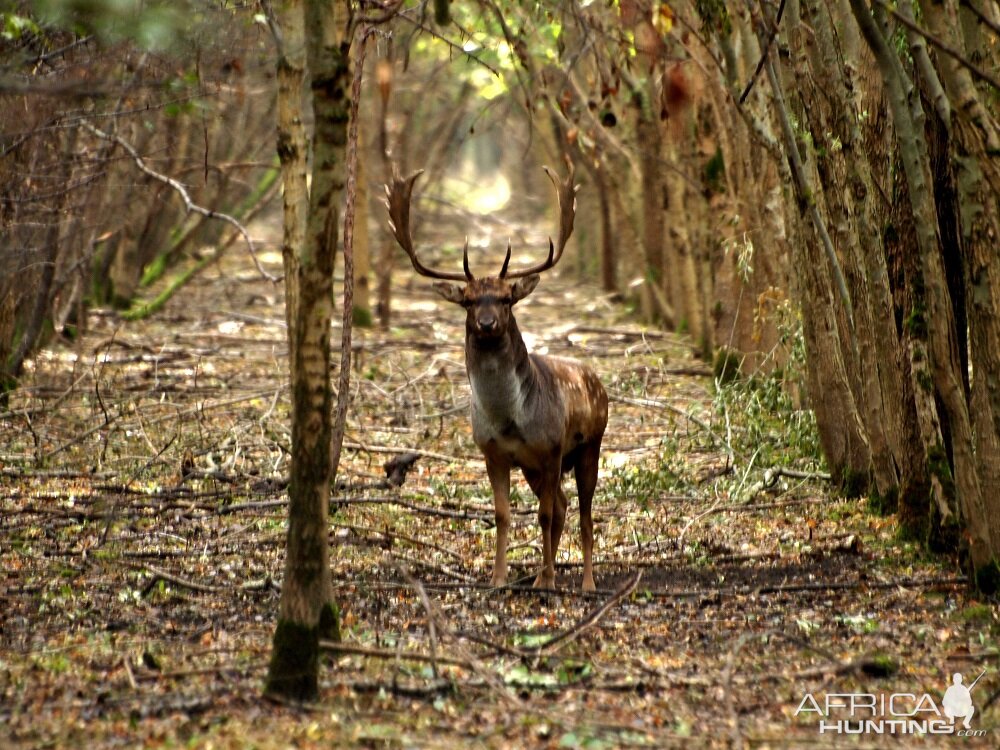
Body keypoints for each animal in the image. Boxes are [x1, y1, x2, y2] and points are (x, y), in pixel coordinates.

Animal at [384, 164, 608, 592]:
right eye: (469, 301)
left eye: (506, 298)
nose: (487, 323)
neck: (509, 421)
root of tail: (598, 382)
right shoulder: (493, 452)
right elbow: (503, 514)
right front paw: (499, 578)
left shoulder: (551, 448)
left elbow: (543, 516)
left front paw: (547, 581)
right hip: (536, 468)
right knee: (564, 506)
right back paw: (538, 574)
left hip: (590, 445)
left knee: (585, 513)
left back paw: (584, 582)